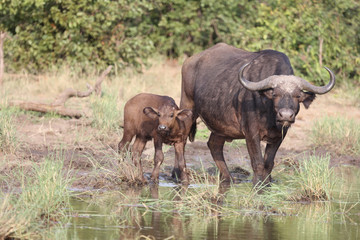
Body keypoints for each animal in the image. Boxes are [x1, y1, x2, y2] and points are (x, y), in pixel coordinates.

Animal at [181, 43, 336, 186]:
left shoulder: (280, 135)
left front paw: (267, 183)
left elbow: (269, 163)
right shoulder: (251, 133)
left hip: (220, 126)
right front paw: (257, 184)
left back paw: (228, 179)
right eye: (275, 94)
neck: (269, 115)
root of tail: (190, 61)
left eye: (298, 95)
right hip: (187, 108)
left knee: (214, 145)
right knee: (181, 142)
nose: (286, 116)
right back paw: (182, 176)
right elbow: (258, 162)